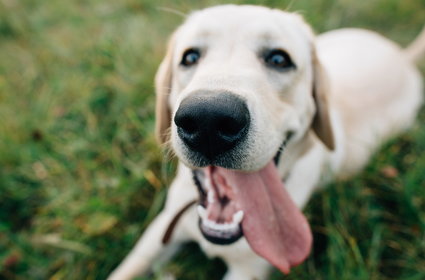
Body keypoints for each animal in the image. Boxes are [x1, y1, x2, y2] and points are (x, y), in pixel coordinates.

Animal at [107, 4, 422, 280]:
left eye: (279, 59)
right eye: (190, 57)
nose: (208, 120)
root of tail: (402, 56)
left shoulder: (249, 270)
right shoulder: (161, 229)